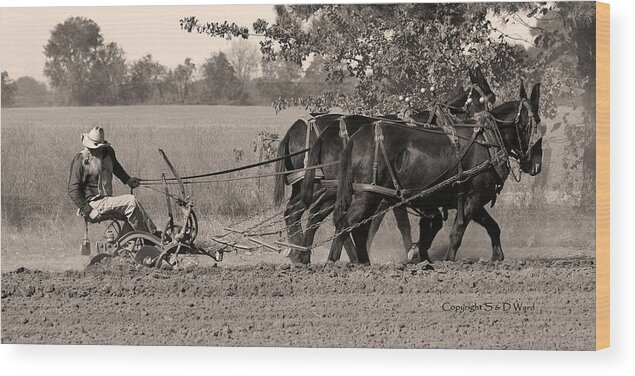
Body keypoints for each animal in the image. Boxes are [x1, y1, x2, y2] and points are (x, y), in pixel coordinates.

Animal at [296, 69, 500, 262]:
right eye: (489, 98)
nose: (490, 126)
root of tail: (327, 131)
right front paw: (415, 252)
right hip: (344, 188)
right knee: (328, 216)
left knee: (320, 214)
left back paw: (305, 255)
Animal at [330, 81, 544, 264]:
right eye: (536, 122)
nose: (536, 165)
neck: (489, 139)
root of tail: (356, 137)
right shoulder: (474, 197)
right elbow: (457, 232)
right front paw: (448, 261)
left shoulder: (469, 199)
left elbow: (492, 227)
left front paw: (497, 257)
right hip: (367, 194)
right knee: (346, 223)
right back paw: (336, 262)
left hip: (373, 196)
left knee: (358, 228)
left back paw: (363, 262)